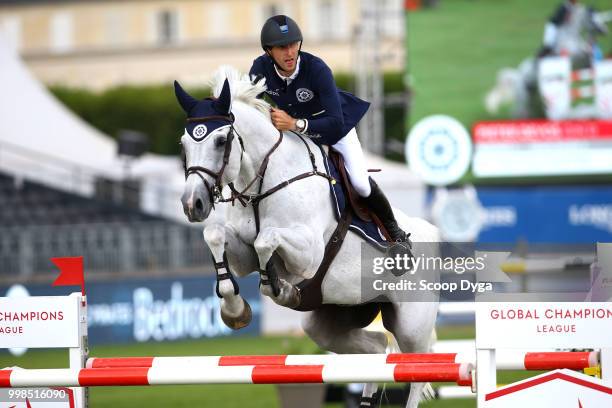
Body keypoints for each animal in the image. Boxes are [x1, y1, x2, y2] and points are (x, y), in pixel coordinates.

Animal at [176, 65, 440, 406]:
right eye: (184, 144)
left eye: (221, 141)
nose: (192, 204)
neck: (263, 182)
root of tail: (432, 232)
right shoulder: (243, 255)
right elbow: (215, 234)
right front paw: (235, 310)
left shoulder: (309, 254)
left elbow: (266, 240)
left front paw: (281, 289)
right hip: (331, 321)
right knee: (377, 347)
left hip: (411, 323)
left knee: (416, 371)